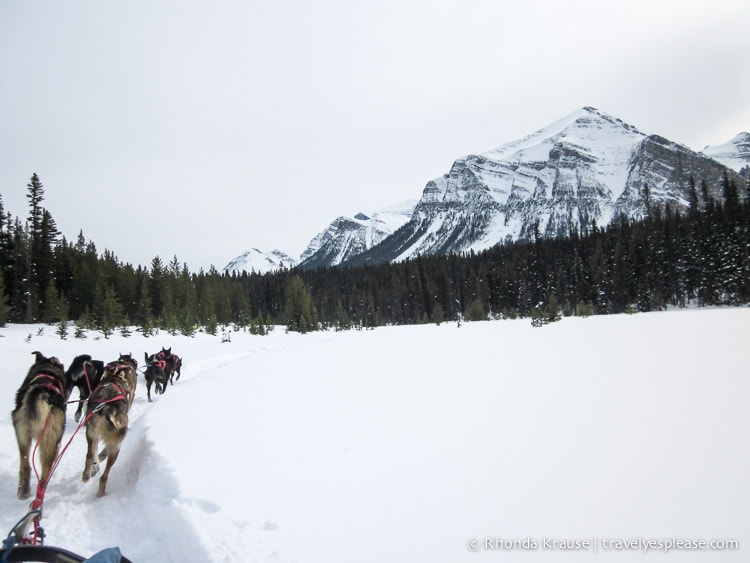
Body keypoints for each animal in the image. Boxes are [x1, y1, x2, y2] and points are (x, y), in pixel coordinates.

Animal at [11, 352, 73, 502]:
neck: (46, 371)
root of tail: (40, 393)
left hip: (22, 436)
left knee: (25, 466)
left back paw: (24, 491)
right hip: (51, 441)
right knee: (44, 474)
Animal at [81, 354, 137, 496]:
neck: (113, 378)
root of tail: (108, 407)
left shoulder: (93, 434)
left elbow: (94, 453)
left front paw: (95, 465)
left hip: (91, 433)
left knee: (89, 455)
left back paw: (87, 476)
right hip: (115, 448)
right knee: (104, 475)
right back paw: (100, 492)